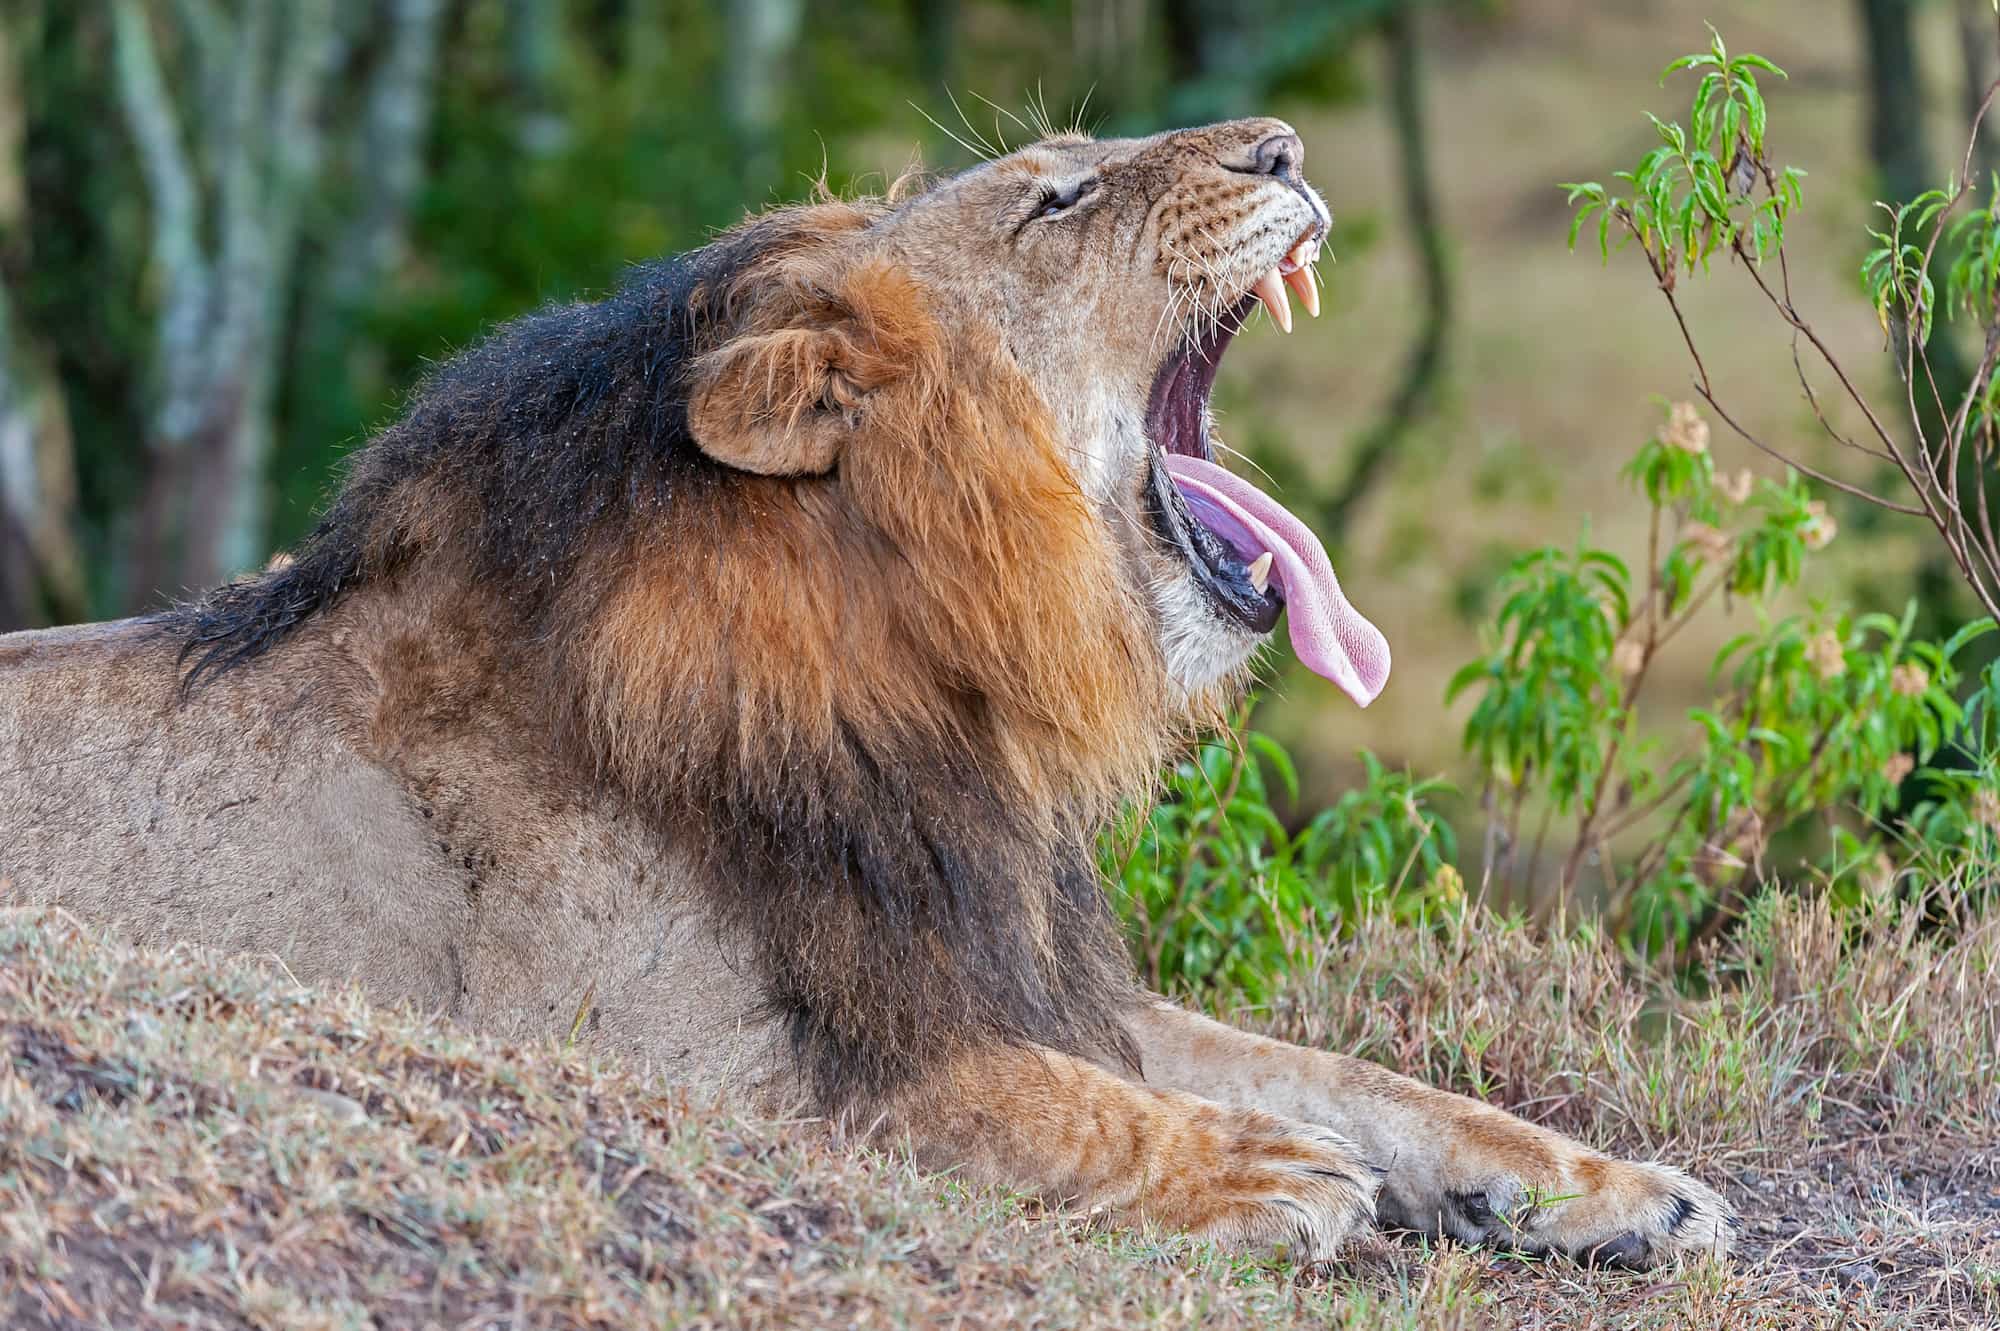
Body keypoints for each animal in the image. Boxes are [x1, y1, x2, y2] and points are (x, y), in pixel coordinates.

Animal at [0, 118, 1734, 1268]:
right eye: (1059, 195)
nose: (1285, 144)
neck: (927, 689)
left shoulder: (993, 959)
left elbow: (1348, 1074)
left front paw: (1615, 1184)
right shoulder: (650, 1040)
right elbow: (1007, 1103)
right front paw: (1254, 1169)